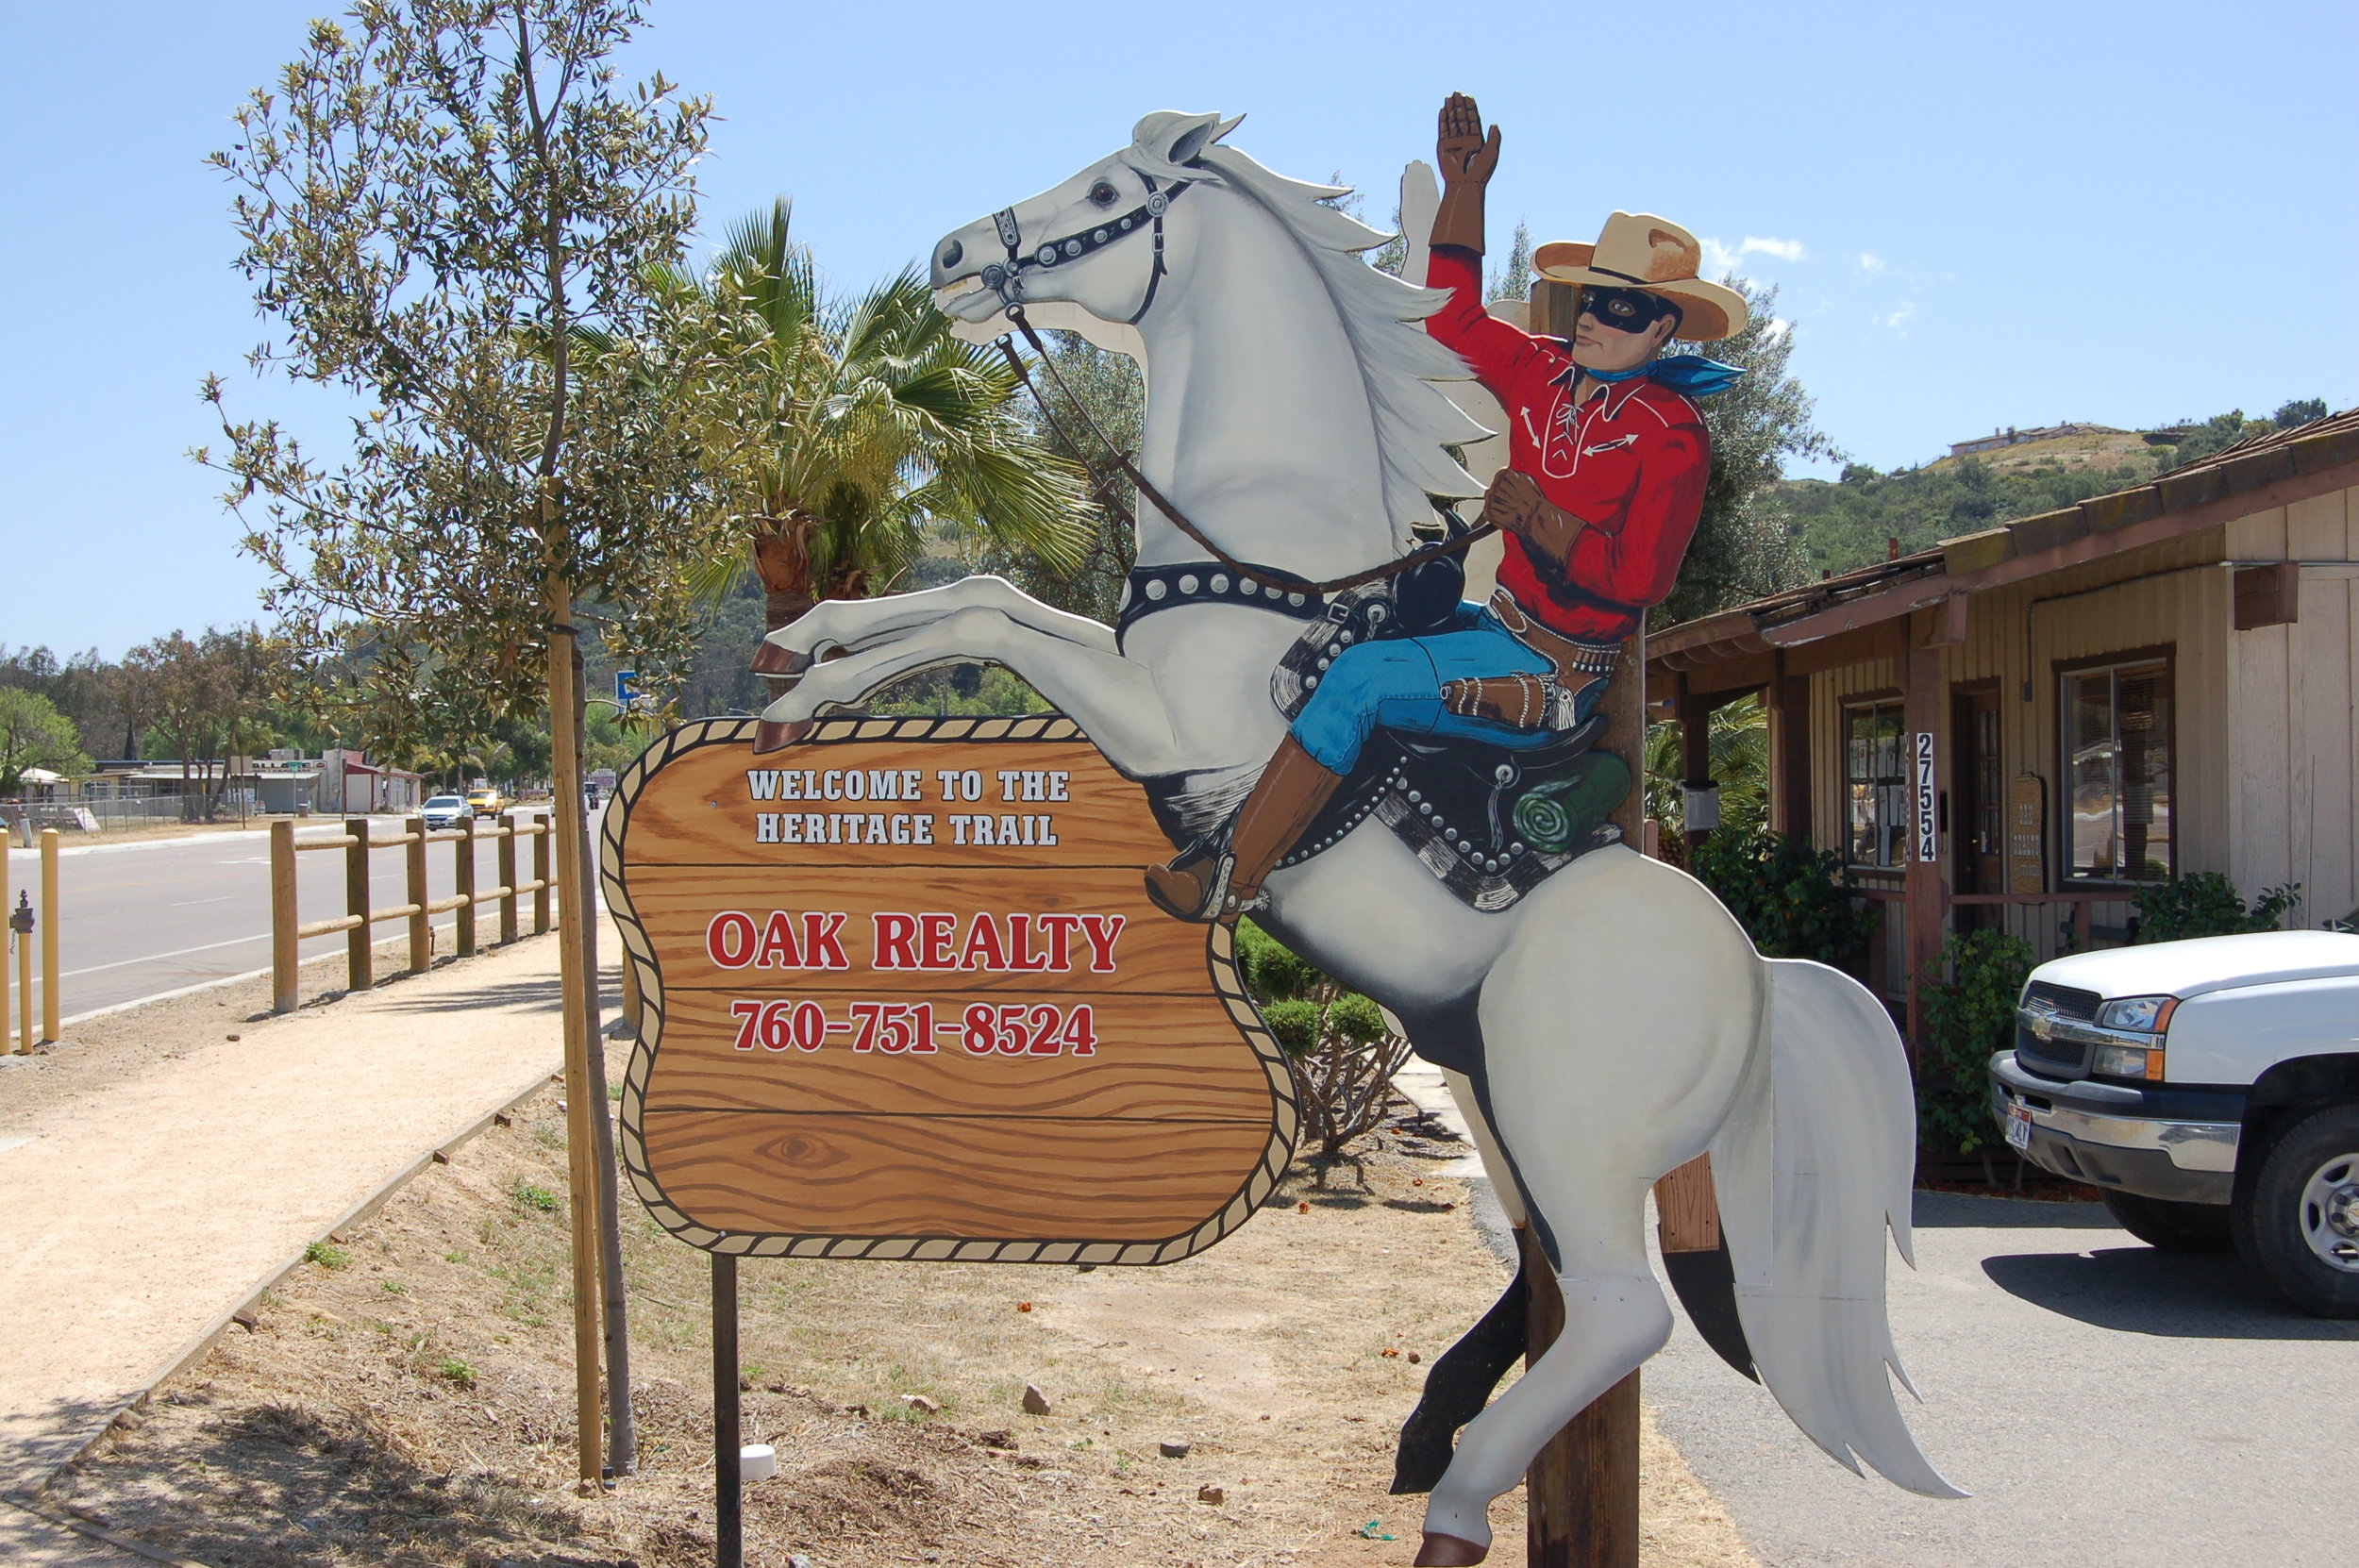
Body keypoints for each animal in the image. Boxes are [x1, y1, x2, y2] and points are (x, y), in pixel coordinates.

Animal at [750, 112, 1953, 1565]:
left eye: (1108, 189)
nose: (950, 257)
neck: (1274, 563)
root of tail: (1762, 982)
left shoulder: (1157, 719)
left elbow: (987, 614)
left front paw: (797, 699)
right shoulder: (1118, 661)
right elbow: (984, 593)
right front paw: (806, 643)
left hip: (1569, 1127)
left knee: (1623, 1309)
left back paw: (1456, 1494)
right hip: (1497, 1095)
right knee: (1552, 1273)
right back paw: (1433, 1429)